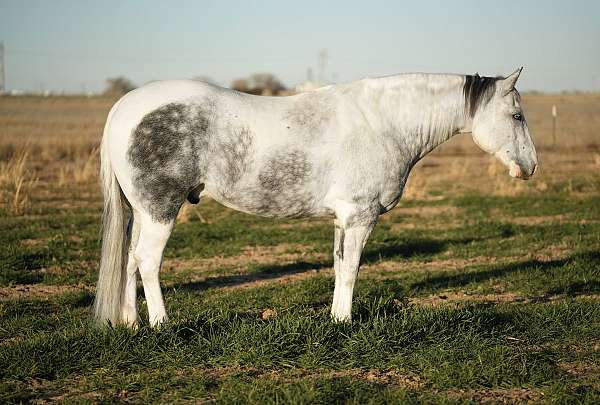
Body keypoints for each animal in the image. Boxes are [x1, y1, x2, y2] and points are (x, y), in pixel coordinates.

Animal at [95, 66, 540, 326]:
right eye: (517, 115)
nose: (531, 166)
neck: (382, 122)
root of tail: (125, 107)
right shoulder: (360, 216)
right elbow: (352, 269)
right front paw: (345, 323)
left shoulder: (342, 219)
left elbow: (340, 267)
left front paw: (335, 319)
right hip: (160, 210)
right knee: (147, 261)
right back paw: (162, 325)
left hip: (143, 212)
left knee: (130, 261)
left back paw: (130, 323)